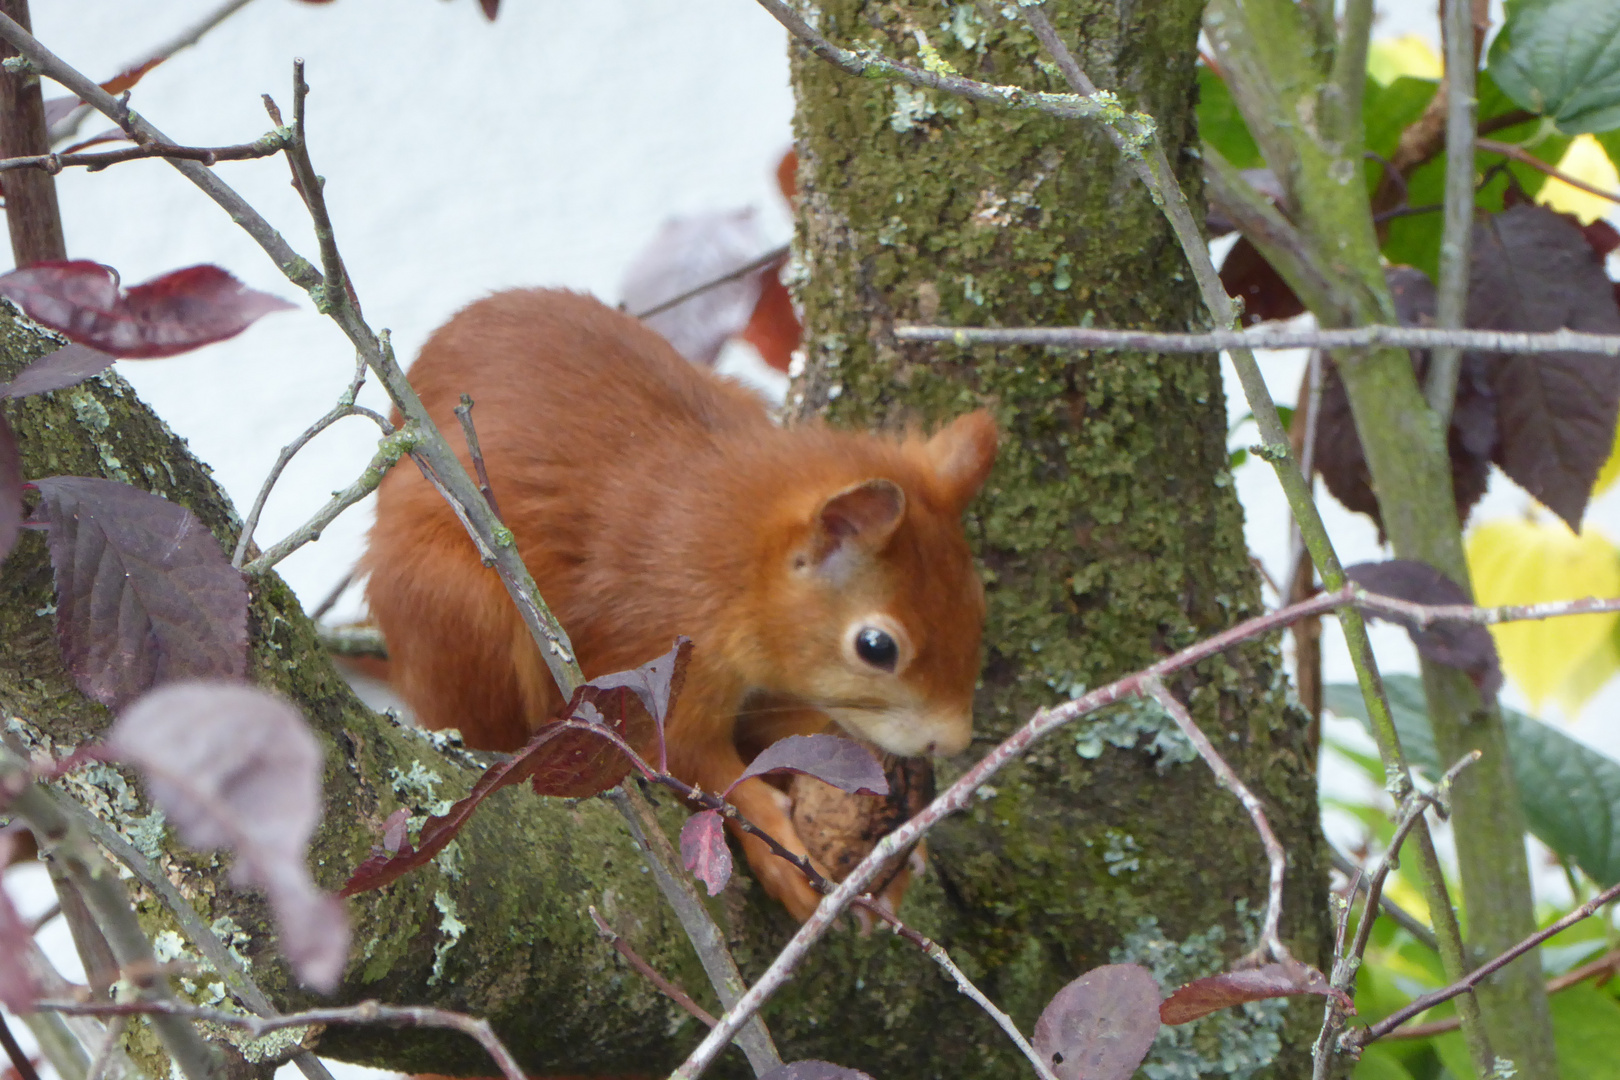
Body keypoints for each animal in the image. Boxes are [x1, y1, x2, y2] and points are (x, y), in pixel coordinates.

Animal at [364, 289, 997, 919]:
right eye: (876, 647)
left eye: (978, 604)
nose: (952, 742)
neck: (729, 560)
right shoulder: (651, 653)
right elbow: (693, 763)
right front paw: (784, 850)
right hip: (458, 612)